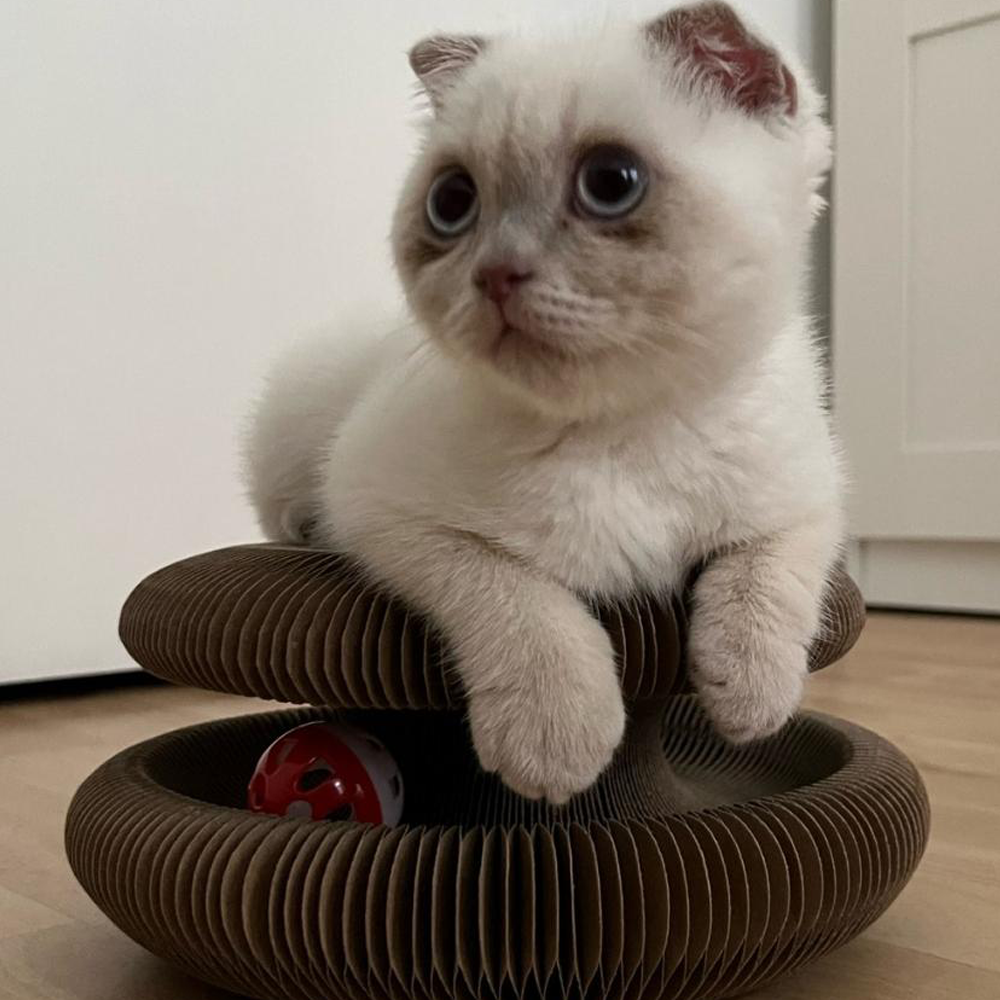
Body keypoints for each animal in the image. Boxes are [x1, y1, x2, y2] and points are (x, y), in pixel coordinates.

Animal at [244, 3, 844, 804]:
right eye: (451, 202)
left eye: (611, 182)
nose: (496, 273)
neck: (625, 428)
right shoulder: (382, 506)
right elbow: (516, 593)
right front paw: (557, 738)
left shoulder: (809, 489)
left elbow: (770, 569)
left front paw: (750, 689)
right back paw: (300, 526)